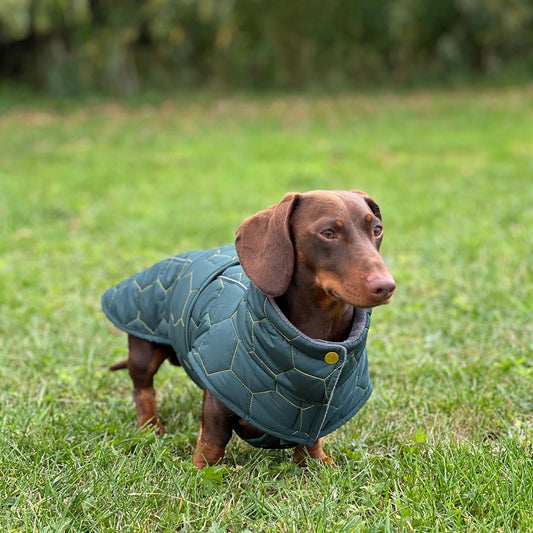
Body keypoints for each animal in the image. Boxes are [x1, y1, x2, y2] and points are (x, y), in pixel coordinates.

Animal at [103, 190, 394, 466]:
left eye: (377, 229)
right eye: (328, 233)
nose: (387, 287)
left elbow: (312, 437)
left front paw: (315, 462)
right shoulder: (219, 392)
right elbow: (215, 435)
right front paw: (202, 468)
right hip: (144, 349)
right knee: (143, 390)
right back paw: (150, 427)